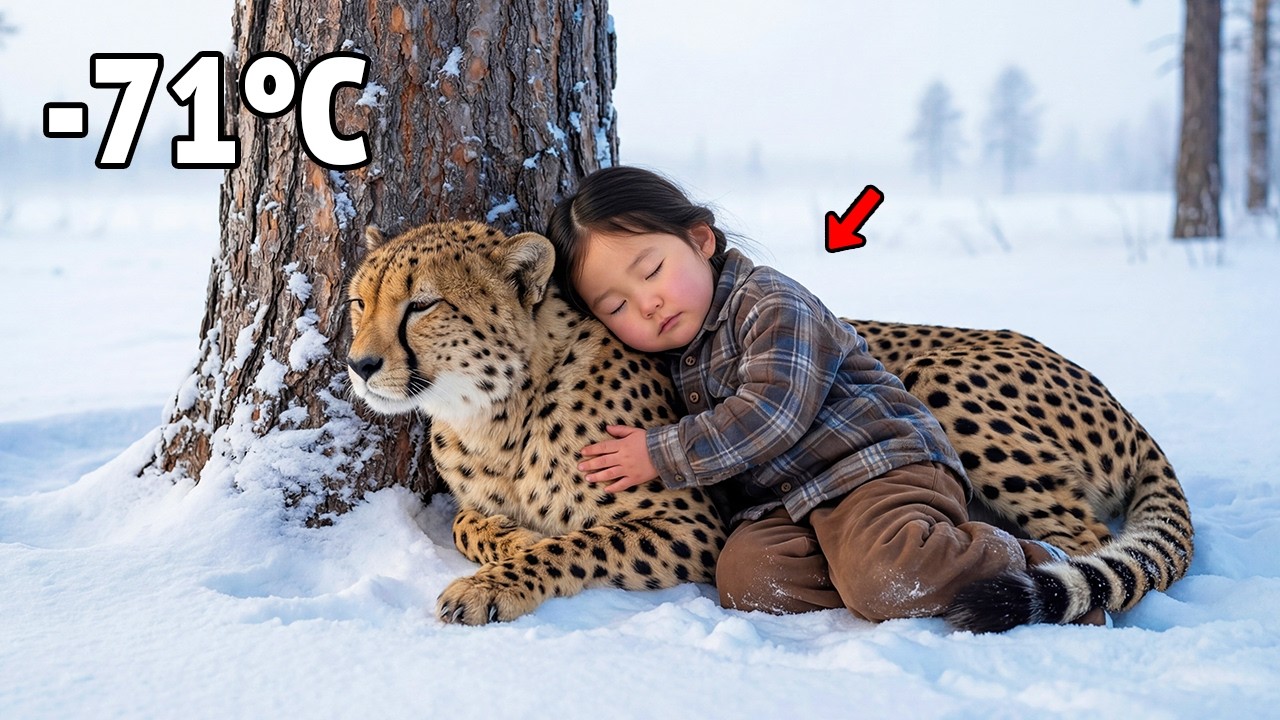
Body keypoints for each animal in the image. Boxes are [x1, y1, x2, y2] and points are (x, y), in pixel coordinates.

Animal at [344, 221, 725, 625]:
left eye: (421, 305)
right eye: (360, 303)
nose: (359, 364)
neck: (497, 415)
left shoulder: (694, 525)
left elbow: (578, 543)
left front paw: (488, 586)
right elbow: (461, 523)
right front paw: (515, 537)